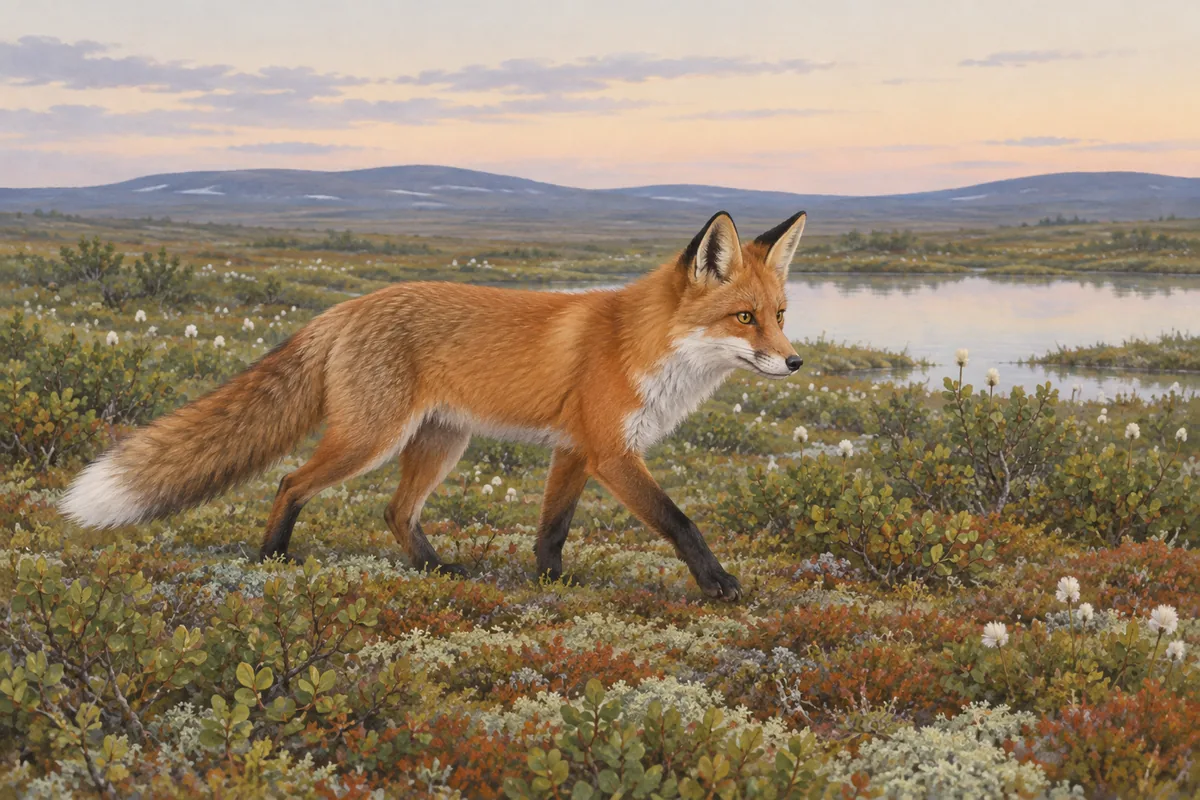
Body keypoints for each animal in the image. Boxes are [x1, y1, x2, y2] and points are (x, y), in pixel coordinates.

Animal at [60, 210, 807, 600]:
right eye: (743, 318)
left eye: (779, 315)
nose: (796, 361)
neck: (643, 346)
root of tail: (346, 306)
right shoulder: (610, 452)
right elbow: (681, 522)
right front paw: (720, 584)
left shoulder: (575, 451)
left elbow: (552, 529)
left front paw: (550, 585)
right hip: (372, 440)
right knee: (291, 481)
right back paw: (272, 558)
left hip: (440, 444)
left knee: (395, 512)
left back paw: (435, 569)